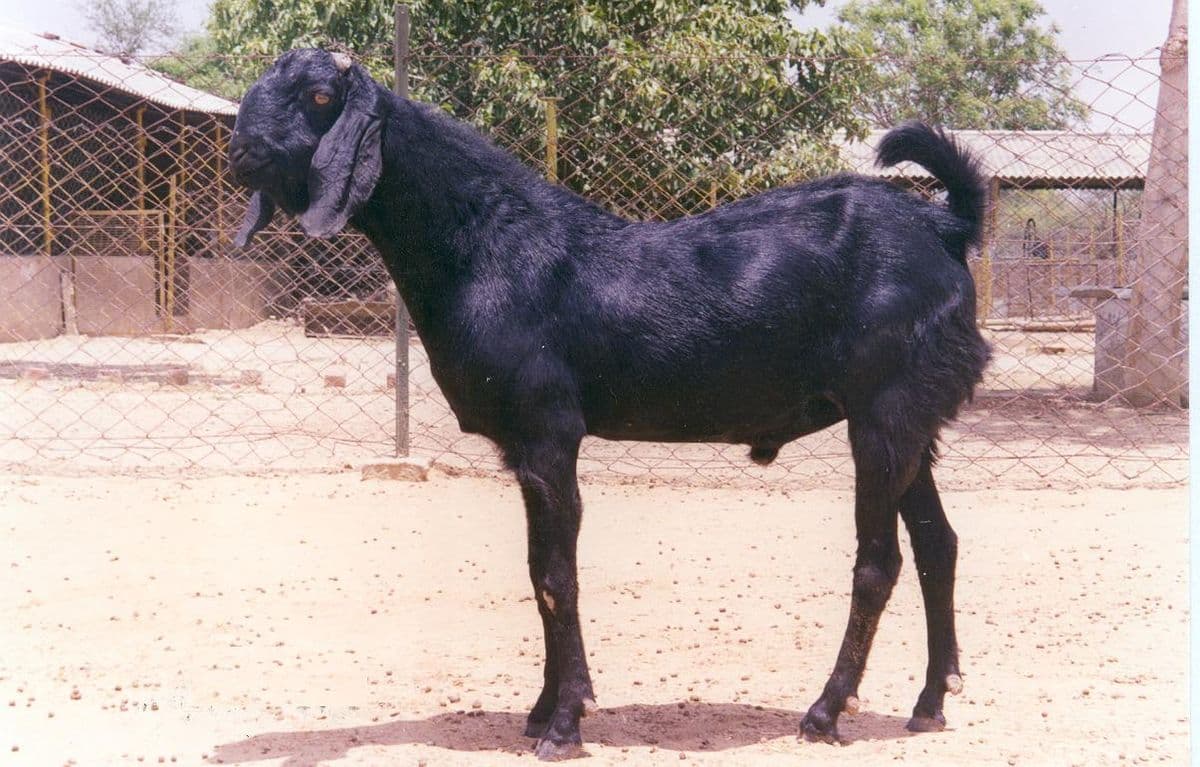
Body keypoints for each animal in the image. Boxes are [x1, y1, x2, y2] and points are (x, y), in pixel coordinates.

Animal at [229, 49, 991, 760]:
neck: (491, 246)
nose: (240, 150)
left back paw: (827, 712)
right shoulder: (522, 446)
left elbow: (556, 576)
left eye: (320, 95)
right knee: (939, 542)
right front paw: (543, 709)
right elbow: (537, 570)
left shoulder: (548, 430)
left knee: (879, 562)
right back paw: (930, 701)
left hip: (885, 408)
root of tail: (948, 227)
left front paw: (565, 724)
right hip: (909, 420)